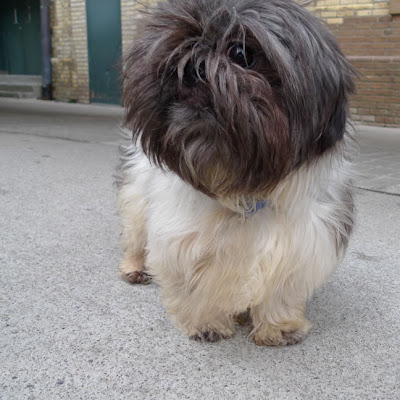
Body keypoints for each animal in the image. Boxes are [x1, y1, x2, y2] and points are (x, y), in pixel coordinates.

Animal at [116, 0, 356, 346]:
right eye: (176, 46)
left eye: (241, 53)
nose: (191, 65)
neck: (240, 187)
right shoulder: (181, 241)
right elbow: (198, 288)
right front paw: (206, 323)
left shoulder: (300, 245)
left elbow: (280, 292)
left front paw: (278, 326)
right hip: (137, 193)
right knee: (135, 235)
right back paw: (134, 266)